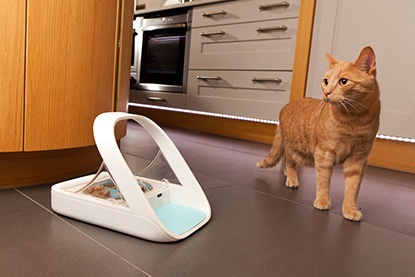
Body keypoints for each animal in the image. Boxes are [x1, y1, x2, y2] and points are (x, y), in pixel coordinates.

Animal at [258, 47, 382, 220]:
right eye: (326, 81)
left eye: (343, 81)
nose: (327, 93)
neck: (354, 120)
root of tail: (286, 105)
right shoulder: (324, 154)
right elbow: (323, 181)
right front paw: (323, 201)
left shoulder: (358, 158)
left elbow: (352, 188)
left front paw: (350, 209)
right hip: (292, 147)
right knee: (289, 161)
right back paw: (292, 178)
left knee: (285, 161)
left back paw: (286, 174)